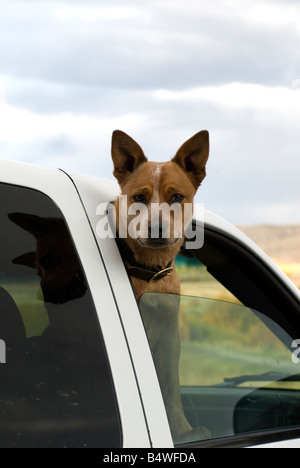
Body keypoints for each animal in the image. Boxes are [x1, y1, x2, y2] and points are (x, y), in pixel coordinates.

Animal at [110, 129, 211, 442]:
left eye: (177, 197)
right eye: (139, 197)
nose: (156, 228)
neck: (150, 271)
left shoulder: (169, 334)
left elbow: (171, 385)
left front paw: (182, 429)